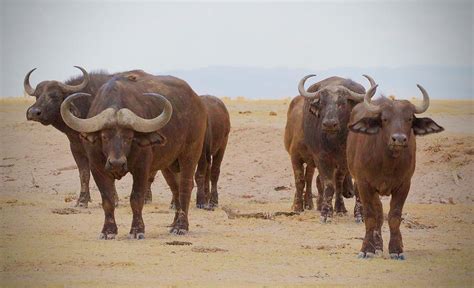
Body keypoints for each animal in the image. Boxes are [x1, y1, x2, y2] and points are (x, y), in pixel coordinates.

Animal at [23, 67, 118, 207]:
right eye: (37, 95)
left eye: (55, 96)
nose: (33, 112)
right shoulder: (76, 148)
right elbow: (84, 174)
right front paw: (82, 200)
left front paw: (114, 199)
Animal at [60, 70, 206, 238]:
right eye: (104, 136)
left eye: (129, 137)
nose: (116, 163)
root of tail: (197, 100)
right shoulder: (97, 168)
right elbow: (108, 199)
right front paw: (108, 230)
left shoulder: (141, 169)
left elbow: (136, 199)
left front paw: (137, 230)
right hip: (168, 164)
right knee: (175, 188)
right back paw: (173, 224)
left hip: (190, 153)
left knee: (185, 187)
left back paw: (181, 227)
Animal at [344, 82, 444, 258]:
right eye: (385, 119)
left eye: (409, 118)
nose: (399, 139)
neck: (387, 163)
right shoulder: (364, 185)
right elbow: (371, 216)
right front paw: (367, 249)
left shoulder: (404, 185)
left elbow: (394, 216)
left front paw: (396, 249)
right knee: (377, 213)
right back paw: (377, 245)